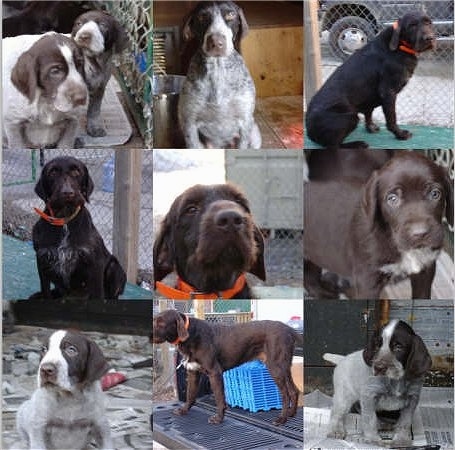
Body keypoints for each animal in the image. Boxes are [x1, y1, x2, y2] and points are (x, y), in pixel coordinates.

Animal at [153, 310, 302, 426]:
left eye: (161, 323)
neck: (191, 334)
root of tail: (289, 329)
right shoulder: (193, 372)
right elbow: (190, 395)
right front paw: (184, 410)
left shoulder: (214, 373)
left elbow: (219, 398)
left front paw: (219, 418)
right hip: (284, 368)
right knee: (294, 391)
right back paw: (291, 414)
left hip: (276, 368)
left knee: (285, 394)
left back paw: (281, 419)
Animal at [308, 11, 436, 149]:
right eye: (412, 25)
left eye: (428, 22)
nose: (429, 38)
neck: (400, 46)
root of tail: (309, 130)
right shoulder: (388, 92)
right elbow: (391, 119)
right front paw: (400, 134)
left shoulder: (370, 98)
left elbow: (369, 112)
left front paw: (370, 127)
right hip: (350, 117)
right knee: (334, 145)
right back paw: (357, 144)